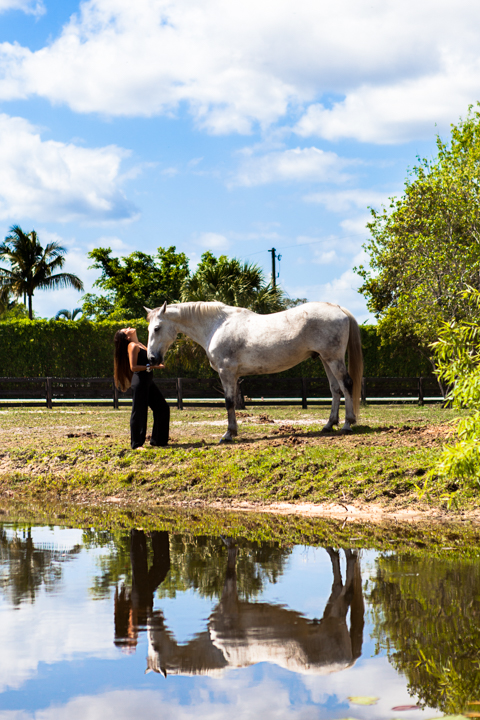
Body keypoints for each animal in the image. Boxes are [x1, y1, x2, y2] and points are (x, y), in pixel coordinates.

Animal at [145, 301, 363, 443]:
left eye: (157, 328)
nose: (151, 359)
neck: (217, 325)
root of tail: (338, 308)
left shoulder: (226, 373)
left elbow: (229, 402)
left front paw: (228, 434)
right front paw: (232, 432)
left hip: (333, 359)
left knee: (346, 385)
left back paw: (347, 424)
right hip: (325, 359)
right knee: (335, 389)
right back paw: (329, 425)